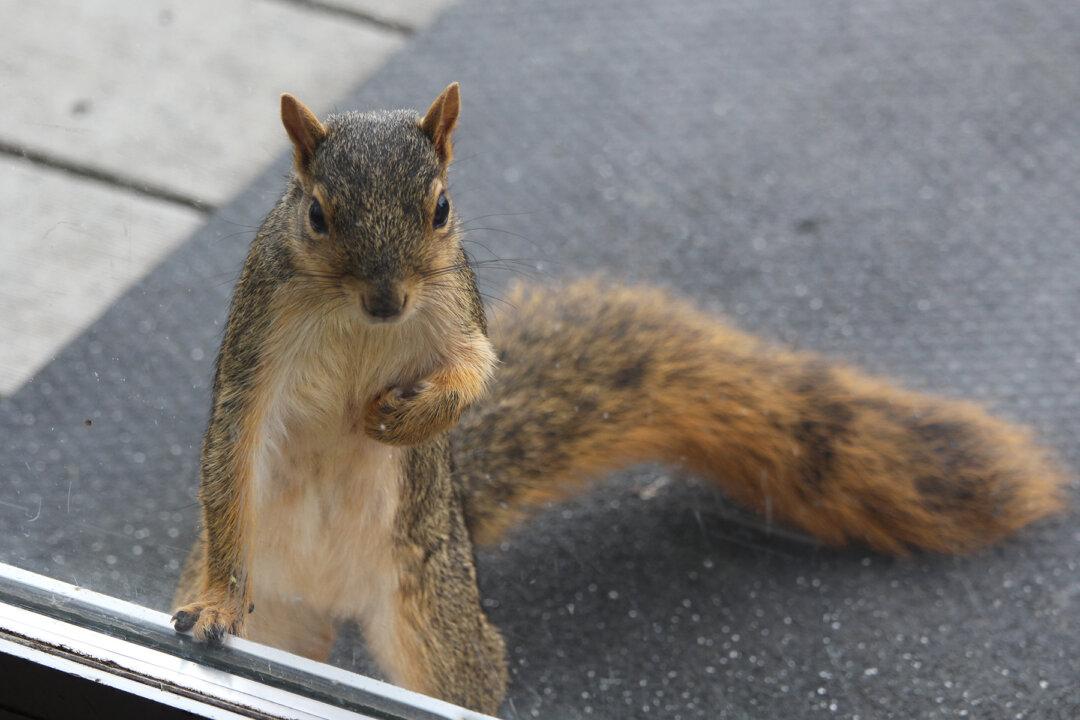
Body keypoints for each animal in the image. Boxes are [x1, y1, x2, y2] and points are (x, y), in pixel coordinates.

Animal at [172, 83, 1067, 715]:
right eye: (318, 215)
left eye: (442, 208)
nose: (388, 302)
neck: (356, 322)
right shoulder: (259, 335)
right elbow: (232, 437)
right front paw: (214, 600)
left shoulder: (456, 312)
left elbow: (474, 373)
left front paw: (408, 417)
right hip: (278, 605)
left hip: (435, 620)